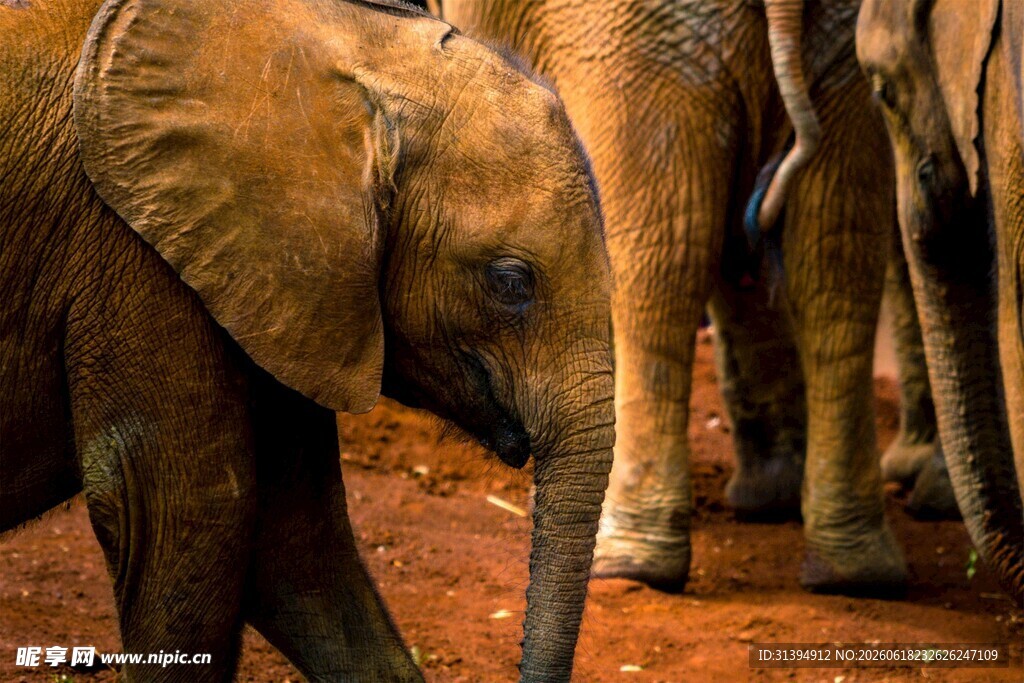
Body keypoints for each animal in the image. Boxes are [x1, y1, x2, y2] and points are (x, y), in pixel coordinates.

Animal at [432, 0, 911, 595]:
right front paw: (769, 499)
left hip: (634, 47)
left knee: (660, 260)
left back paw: (629, 561)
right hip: (834, 48)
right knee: (836, 253)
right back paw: (855, 572)